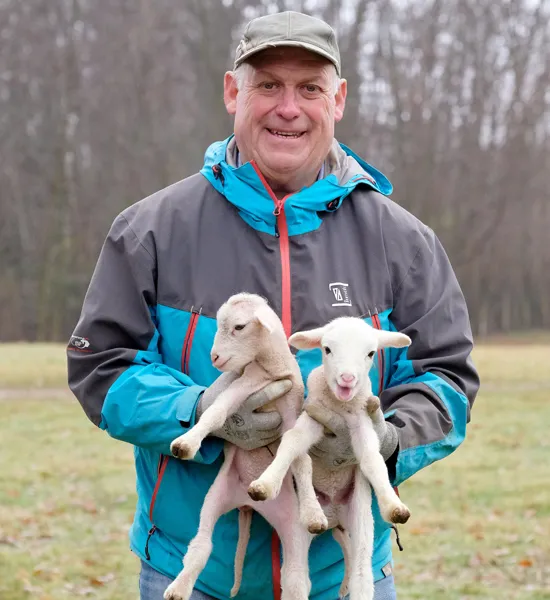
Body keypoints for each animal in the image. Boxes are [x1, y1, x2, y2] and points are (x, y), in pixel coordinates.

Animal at [164, 292, 328, 600]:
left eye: (239, 327)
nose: (214, 357)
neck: (271, 370)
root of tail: (247, 505)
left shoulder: (290, 408)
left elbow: (301, 459)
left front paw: (314, 512)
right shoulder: (244, 384)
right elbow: (216, 412)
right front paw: (187, 442)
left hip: (291, 524)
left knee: (295, 576)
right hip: (216, 497)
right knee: (201, 547)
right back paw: (178, 588)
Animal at [249, 316, 414, 596]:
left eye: (370, 353)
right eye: (327, 349)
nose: (347, 378)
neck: (340, 407)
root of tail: (334, 518)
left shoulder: (362, 423)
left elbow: (372, 459)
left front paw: (393, 505)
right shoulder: (315, 414)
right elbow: (292, 441)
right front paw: (265, 483)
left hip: (360, 520)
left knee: (362, 573)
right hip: (297, 528)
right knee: (296, 579)